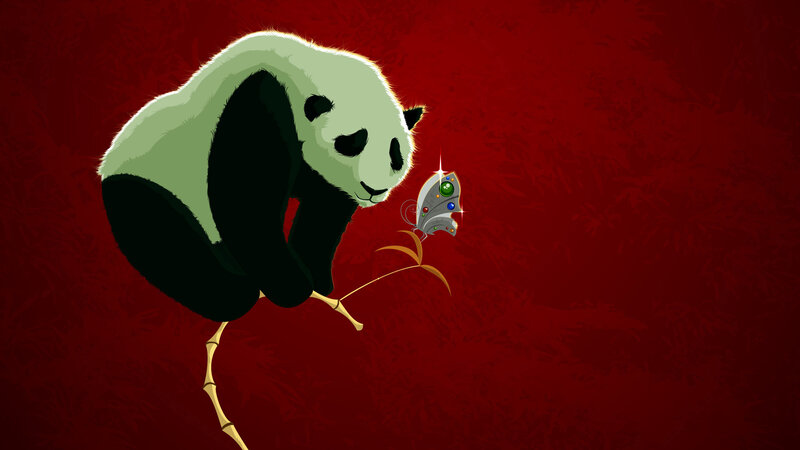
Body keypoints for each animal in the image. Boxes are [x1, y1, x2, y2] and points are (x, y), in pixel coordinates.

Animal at [98, 32, 424, 322]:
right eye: (351, 142)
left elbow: (324, 211)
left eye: (396, 154)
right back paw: (234, 291)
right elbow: (248, 205)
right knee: (171, 245)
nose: (373, 189)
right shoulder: (257, 103)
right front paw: (293, 287)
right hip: (149, 183)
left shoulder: (323, 175)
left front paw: (316, 277)